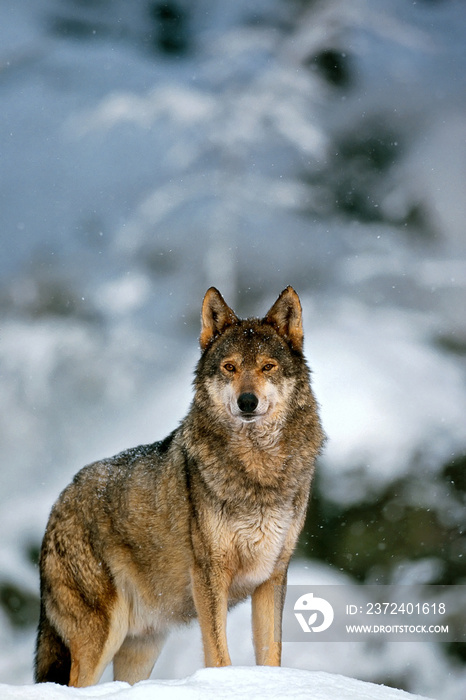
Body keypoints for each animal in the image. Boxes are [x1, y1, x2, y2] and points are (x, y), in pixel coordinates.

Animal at [34, 288, 324, 688]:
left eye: (268, 367)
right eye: (230, 367)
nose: (247, 402)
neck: (257, 472)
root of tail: (58, 501)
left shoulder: (272, 576)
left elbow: (272, 656)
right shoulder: (209, 575)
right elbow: (219, 655)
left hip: (141, 648)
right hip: (101, 637)